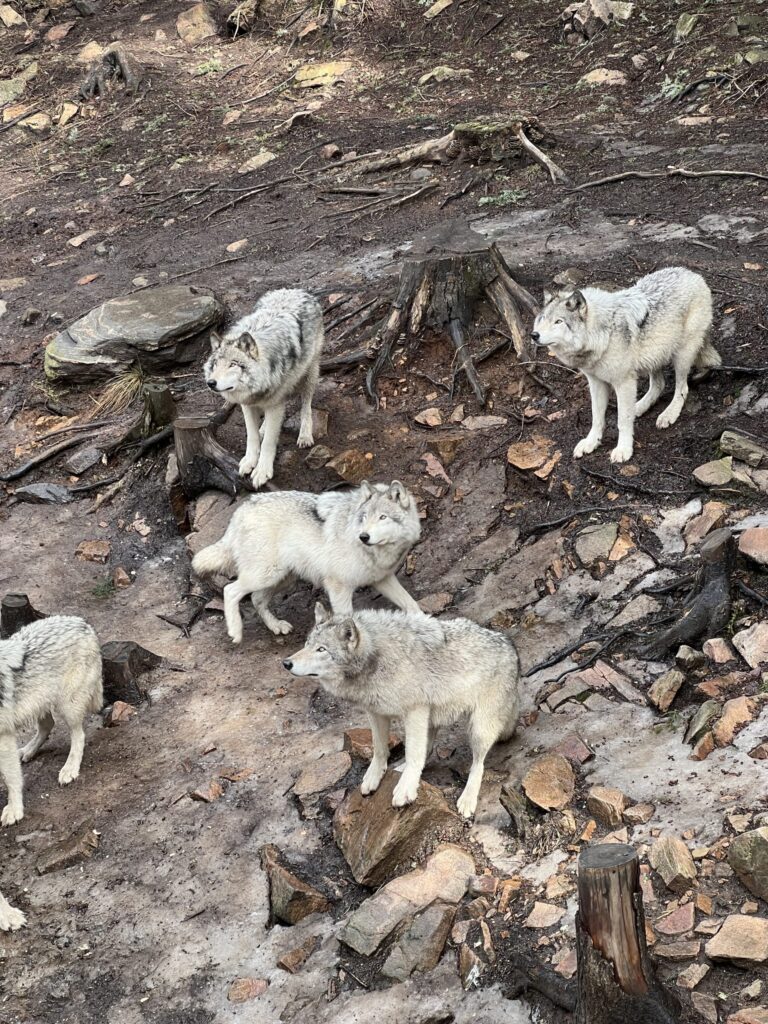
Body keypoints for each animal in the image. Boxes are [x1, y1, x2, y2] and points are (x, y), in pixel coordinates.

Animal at [0, 610, 103, 827]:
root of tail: (83, 623)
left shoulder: (3, 736)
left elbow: (11, 778)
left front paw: (14, 810)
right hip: (39, 702)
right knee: (48, 725)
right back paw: (28, 751)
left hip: (67, 706)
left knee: (78, 735)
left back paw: (69, 769)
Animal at [202, 288, 323, 491]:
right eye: (215, 364)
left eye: (233, 364)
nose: (211, 382)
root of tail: (297, 290)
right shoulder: (247, 404)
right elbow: (251, 436)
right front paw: (249, 461)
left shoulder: (275, 404)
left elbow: (268, 443)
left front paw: (262, 471)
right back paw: (264, 427)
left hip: (310, 373)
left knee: (306, 405)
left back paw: (305, 434)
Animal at [284, 602, 524, 819]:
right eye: (306, 644)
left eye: (321, 649)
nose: (286, 663)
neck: (376, 659)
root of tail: (511, 647)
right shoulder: (376, 712)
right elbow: (380, 749)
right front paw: (375, 776)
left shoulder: (415, 710)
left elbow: (413, 753)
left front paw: (406, 789)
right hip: (434, 719)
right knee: (429, 749)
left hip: (477, 729)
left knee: (477, 764)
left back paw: (467, 799)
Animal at [532, 270, 720, 466]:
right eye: (543, 319)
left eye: (558, 321)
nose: (534, 335)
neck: (603, 334)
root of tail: (693, 274)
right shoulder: (596, 382)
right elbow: (596, 417)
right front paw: (591, 443)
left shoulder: (624, 383)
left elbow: (622, 420)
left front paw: (623, 449)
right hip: (655, 355)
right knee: (658, 385)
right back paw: (640, 407)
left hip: (681, 355)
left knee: (682, 388)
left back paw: (669, 414)